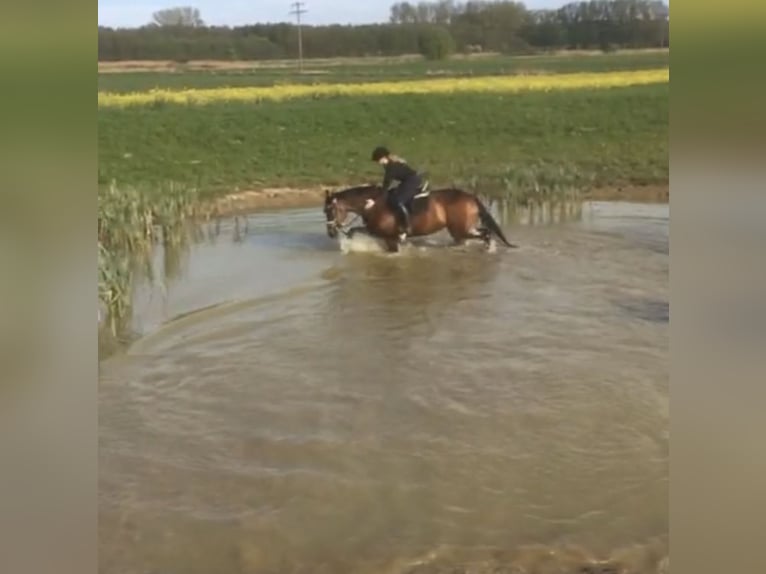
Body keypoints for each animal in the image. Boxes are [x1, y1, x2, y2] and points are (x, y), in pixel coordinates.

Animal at [320, 184, 520, 254]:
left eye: (329, 210)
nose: (330, 233)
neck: (373, 204)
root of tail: (470, 197)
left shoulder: (390, 238)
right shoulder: (376, 232)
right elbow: (355, 230)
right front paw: (348, 240)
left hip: (461, 229)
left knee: (486, 234)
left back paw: (488, 250)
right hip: (460, 231)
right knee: (483, 233)